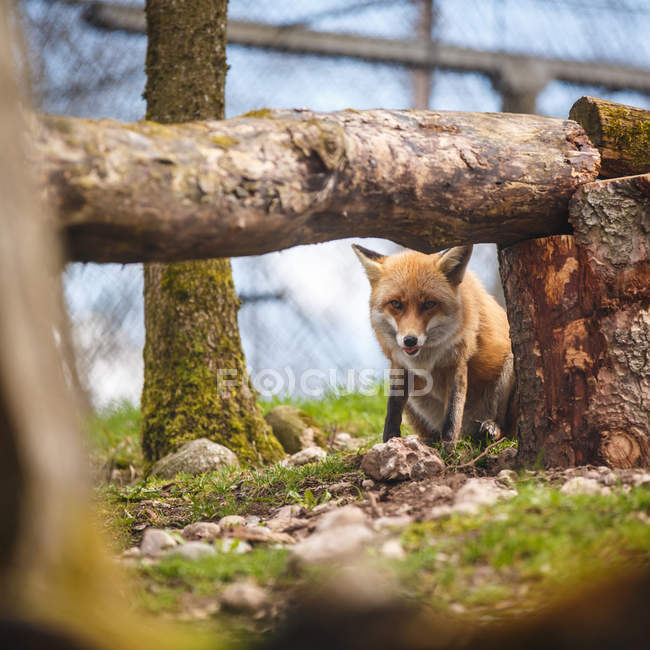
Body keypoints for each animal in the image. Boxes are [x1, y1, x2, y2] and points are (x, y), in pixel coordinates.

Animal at [352, 243, 512, 446]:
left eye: (429, 304)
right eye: (396, 304)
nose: (410, 340)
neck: (426, 358)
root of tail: (469, 432)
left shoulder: (457, 361)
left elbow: (452, 415)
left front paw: (449, 448)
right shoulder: (399, 364)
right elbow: (392, 411)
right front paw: (389, 441)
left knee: (504, 427)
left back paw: (492, 428)